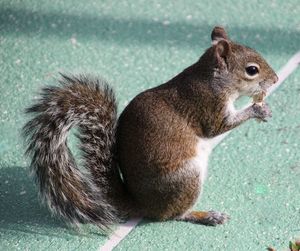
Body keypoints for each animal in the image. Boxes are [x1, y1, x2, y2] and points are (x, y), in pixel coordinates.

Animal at [22, 26, 278, 230]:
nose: (275, 80)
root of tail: (141, 204)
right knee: (171, 215)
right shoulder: (207, 105)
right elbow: (217, 127)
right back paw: (205, 215)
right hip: (186, 178)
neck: (211, 77)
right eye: (252, 70)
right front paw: (258, 110)